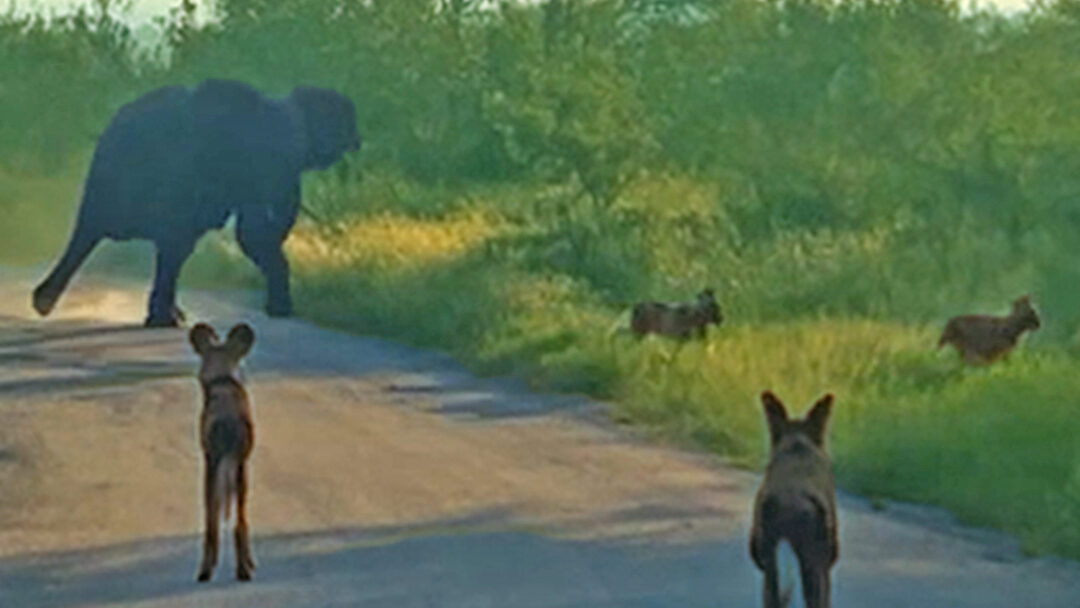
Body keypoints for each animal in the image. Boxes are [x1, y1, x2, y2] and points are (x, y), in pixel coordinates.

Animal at [32, 78, 361, 327]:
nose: (357, 143)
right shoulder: (269, 162)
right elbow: (253, 233)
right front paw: (281, 310)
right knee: (167, 240)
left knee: (161, 242)